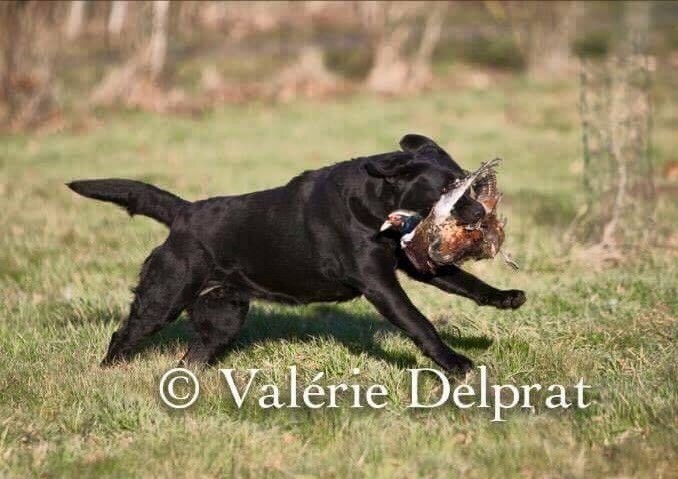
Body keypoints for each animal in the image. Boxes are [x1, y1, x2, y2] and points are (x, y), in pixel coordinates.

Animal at [69, 133, 524, 374]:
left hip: (224, 315)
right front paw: (456, 364)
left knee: (194, 354)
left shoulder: (414, 266)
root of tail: (184, 213)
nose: (481, 213)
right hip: (165, 295)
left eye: (469, 182)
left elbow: (465, 282)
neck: (371, 203)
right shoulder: (378, 283)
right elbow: (419, 323)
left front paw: (506, 298)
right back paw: (109, 372)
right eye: (448, 187)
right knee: (124, 334)